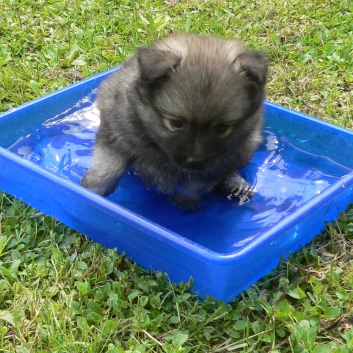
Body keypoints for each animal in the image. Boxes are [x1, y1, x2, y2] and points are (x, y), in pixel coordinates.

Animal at [80, 33, 266, 209]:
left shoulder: (218, 162)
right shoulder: (115, 130)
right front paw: (94, 188)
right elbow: (109, 164)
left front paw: (184, 201)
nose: (195, 162)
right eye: (176, 123)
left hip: (248, 146)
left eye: (221, 129)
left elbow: (194, 184)